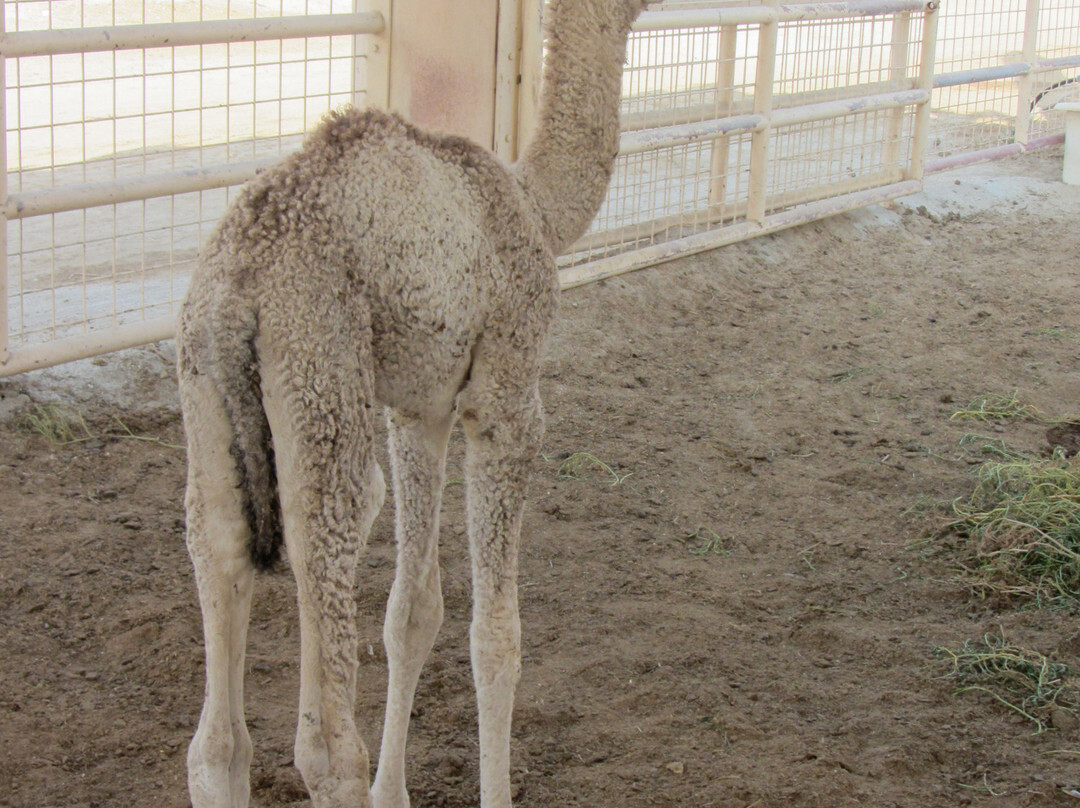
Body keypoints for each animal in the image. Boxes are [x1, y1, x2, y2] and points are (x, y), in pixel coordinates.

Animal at [175, 1, 648, 806]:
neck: (534, 205)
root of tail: (239, 288)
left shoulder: (418, 411)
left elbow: (412, 614)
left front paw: (393, 792)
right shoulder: (506, 401)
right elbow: (496, 640)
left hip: (205, 393)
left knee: (217, 723)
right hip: (320, 378)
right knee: (326, 739)